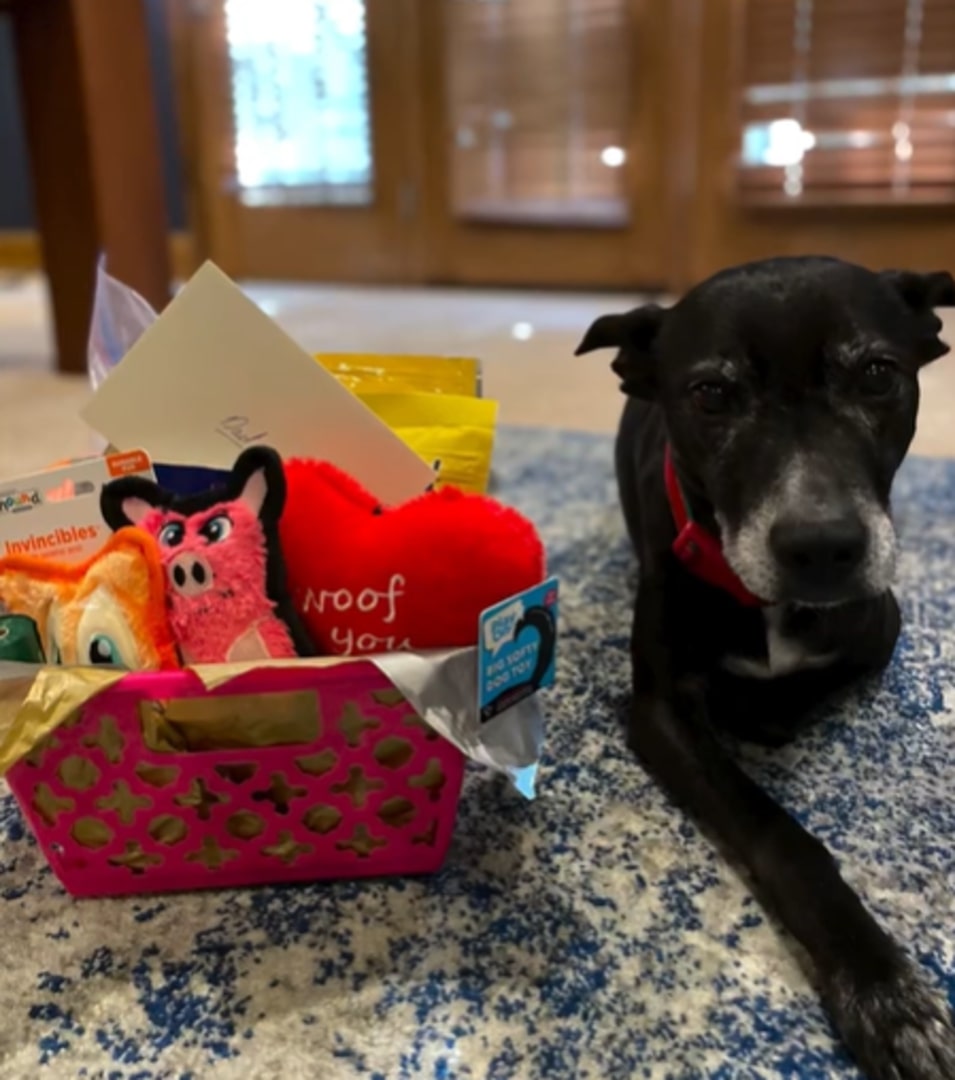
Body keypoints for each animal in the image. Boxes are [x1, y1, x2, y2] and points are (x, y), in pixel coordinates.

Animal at [579, 257, 955, 1080]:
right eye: (711, 394)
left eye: (877, 374)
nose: (822, 547)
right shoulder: (658, 710)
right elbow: (783, 835)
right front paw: (884, 993)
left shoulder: (882, 628)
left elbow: (809, 676)